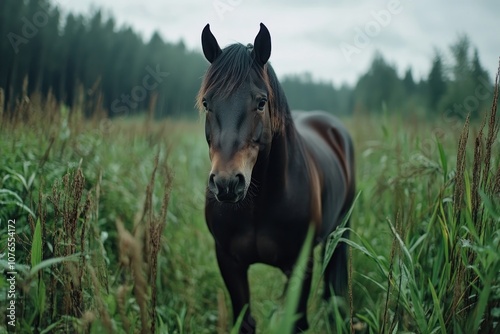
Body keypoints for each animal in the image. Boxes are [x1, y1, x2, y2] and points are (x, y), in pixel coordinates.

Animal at [196, 22, 356, 332]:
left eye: (261, 102)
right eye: (207, 103)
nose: (226, 184)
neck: (258, 206)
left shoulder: (301, 266)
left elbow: (298, 321)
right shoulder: (229, 262)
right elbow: (245, 321)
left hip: (340, 233)